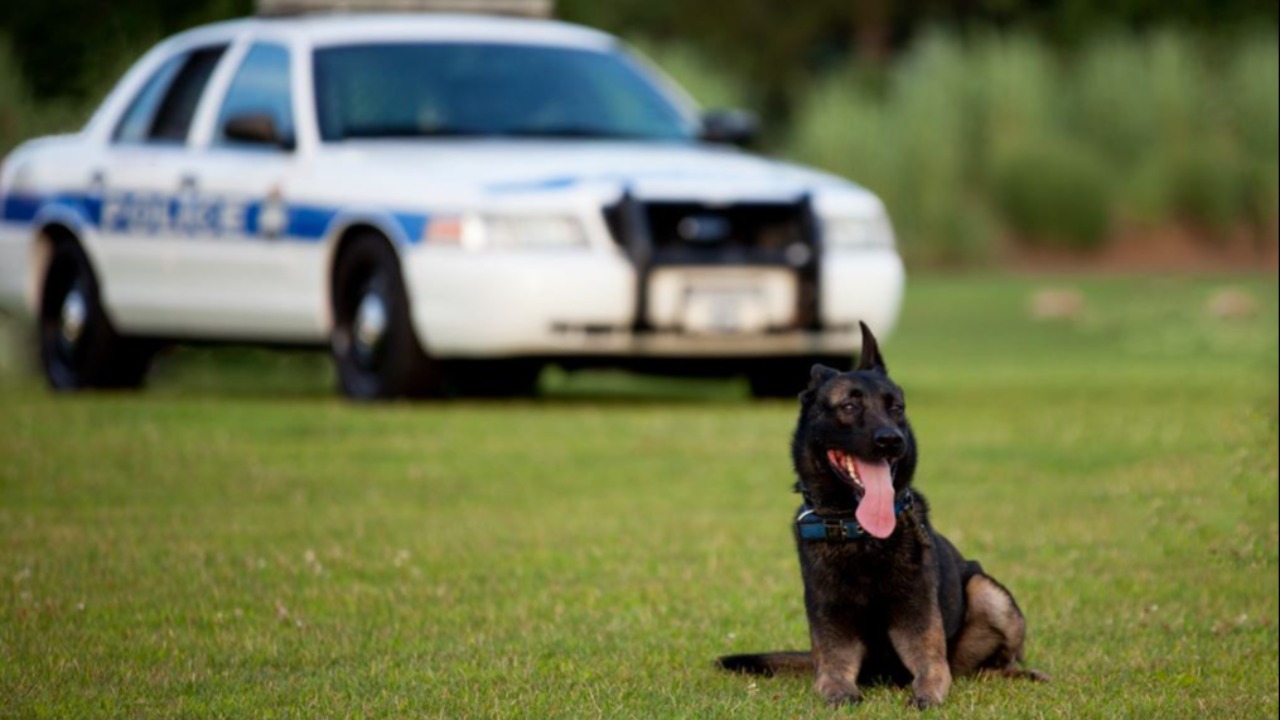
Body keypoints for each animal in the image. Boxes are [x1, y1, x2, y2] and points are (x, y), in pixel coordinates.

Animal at [716, 322, 1044, 702]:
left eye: (897, 408)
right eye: (848, 406)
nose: (891, 439)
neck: (861, 535)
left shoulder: (923, 637)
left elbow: (934, 673)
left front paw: (924, 696)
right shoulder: (832, 642)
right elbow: (833, 677)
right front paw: (842, 695)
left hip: (987, 591)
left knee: (991, 665)